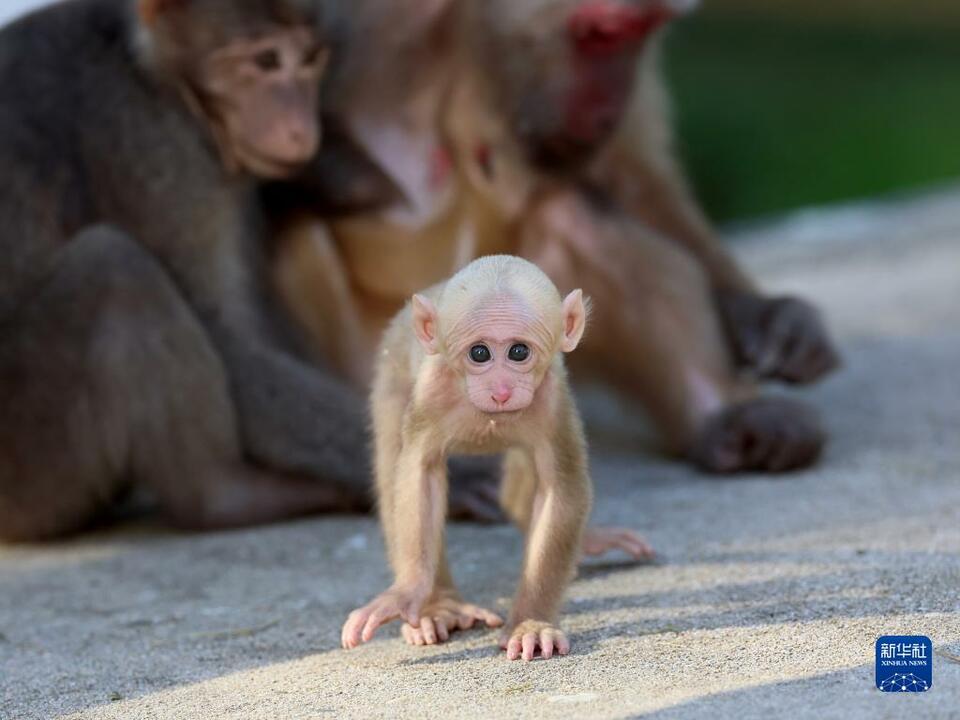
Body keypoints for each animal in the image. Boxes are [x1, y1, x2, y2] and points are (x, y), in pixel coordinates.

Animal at [0, 0, 382, 540]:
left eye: (310, 59)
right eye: (266, 61)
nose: (302, 126)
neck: (147, 69)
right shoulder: (149, 145)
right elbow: (226, 340)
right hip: (28, 459)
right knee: (113, 268)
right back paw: (226, 496)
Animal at [274, 0, 836, 478]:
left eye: (641, 33)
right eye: (603, 34)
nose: (607, 109)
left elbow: (633, 176)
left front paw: (769, 317)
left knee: (571, 214)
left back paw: (728, 420)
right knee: (302, 231)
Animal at [342, 256, 648, 660]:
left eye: (519, 352)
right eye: (479, 353)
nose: (501, 391)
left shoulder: (551, 399)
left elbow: (559, 489)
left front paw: (530, 622)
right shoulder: (431, 393)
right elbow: (420, 475)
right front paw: (407, 593)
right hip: (391, 373)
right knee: (393, 466)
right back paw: (439, 607)